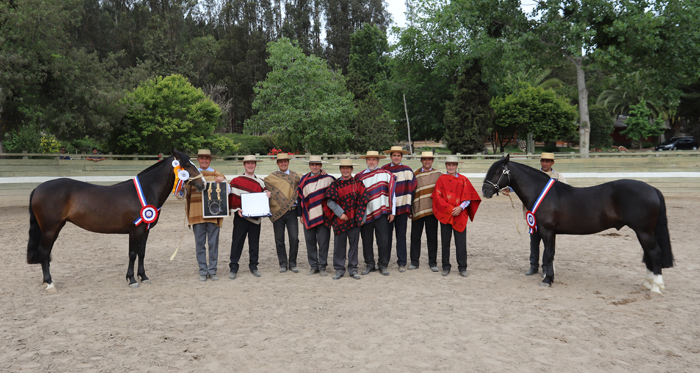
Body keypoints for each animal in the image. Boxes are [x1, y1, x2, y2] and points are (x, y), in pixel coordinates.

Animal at [28, 149, 208, 290]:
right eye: (187, 166)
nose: (204, 184)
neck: (146, 190)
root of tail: (38, 188)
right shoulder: (135, 231)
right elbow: (132, 254)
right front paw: (132, 279)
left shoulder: (145, 231)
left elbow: (142, 253)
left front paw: (144, 277)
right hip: (50, 228)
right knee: (44, 252)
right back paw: (49, 283)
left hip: (56, 228)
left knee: (47, 253)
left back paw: (48, 281)